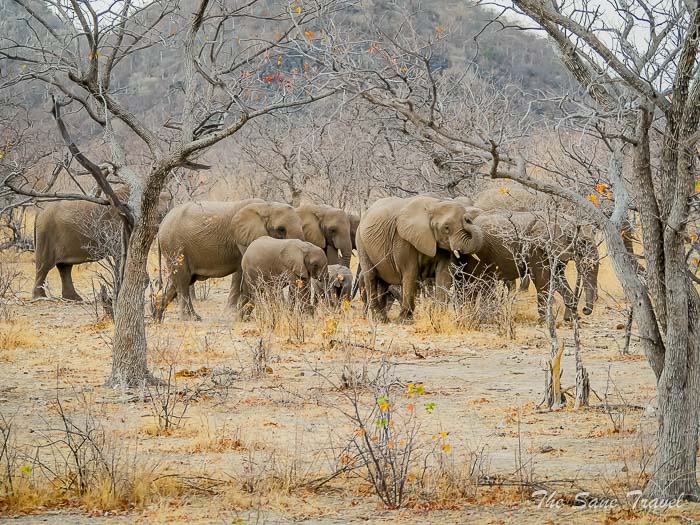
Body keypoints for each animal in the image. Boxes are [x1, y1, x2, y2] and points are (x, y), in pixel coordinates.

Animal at [33, 186, 170, 301]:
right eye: (159, 215)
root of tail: (39, 211)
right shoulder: (120, 225)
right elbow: (121, 254)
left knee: (65, 267)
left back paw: (74, 298)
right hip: (46, 234)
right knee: (44, 266)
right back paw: (40, 297)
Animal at [156, 199, 305, 321]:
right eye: (281, 230)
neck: (266, 206)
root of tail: (162, 224)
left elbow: (241, 272)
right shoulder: (244, 239)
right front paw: (237, 314)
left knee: (179, 282)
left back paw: (157, 315)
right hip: (175, 246)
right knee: (182, 281)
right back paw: (190, 319)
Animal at [455, 210, 599, 322]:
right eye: (583, 242)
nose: (585, 309)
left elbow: (558, 279)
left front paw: (572, 319)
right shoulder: (536, 248)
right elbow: (542, 279)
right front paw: (546, 321)